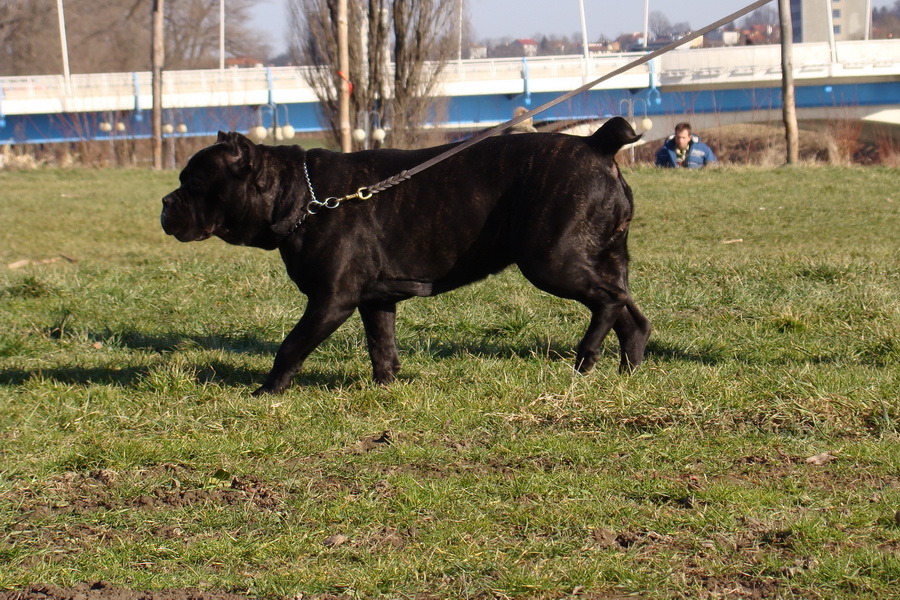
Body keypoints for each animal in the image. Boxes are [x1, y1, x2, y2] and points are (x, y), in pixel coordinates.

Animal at [162, 116, 652, 394]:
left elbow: (291, 345)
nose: (166, 202)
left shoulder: (330, 301)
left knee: (608, 302)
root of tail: (596, 145)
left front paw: (267, 392)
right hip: (597, 260)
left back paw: (586, 356)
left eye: (194, 182)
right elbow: (381, 345)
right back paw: (627, 370)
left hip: (551, 261)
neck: (304, 196)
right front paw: (386, 387)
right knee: (631, 315)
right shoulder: (375, 300)